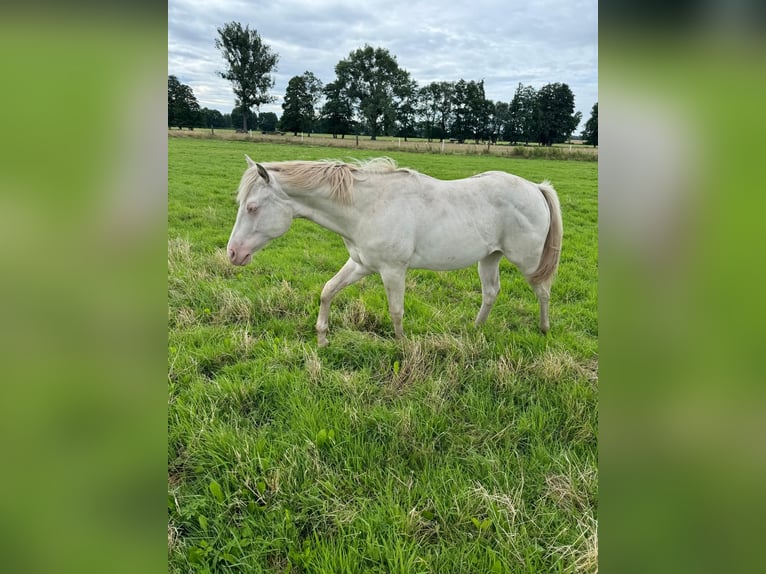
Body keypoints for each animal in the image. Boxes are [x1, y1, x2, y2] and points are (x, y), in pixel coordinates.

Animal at [228, 155, 564, 348]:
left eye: (252, 207)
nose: (233, 254)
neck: (367, 206)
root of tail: (536, 188)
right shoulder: (360, 264)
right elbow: (327, 291)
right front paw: (322, 338)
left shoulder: (392, 270)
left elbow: (396, 311)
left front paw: (401, 347)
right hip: (489, 257)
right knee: (491, 292)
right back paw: (474, 330)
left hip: (528, 262)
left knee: (543, 291)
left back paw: (544, 329)